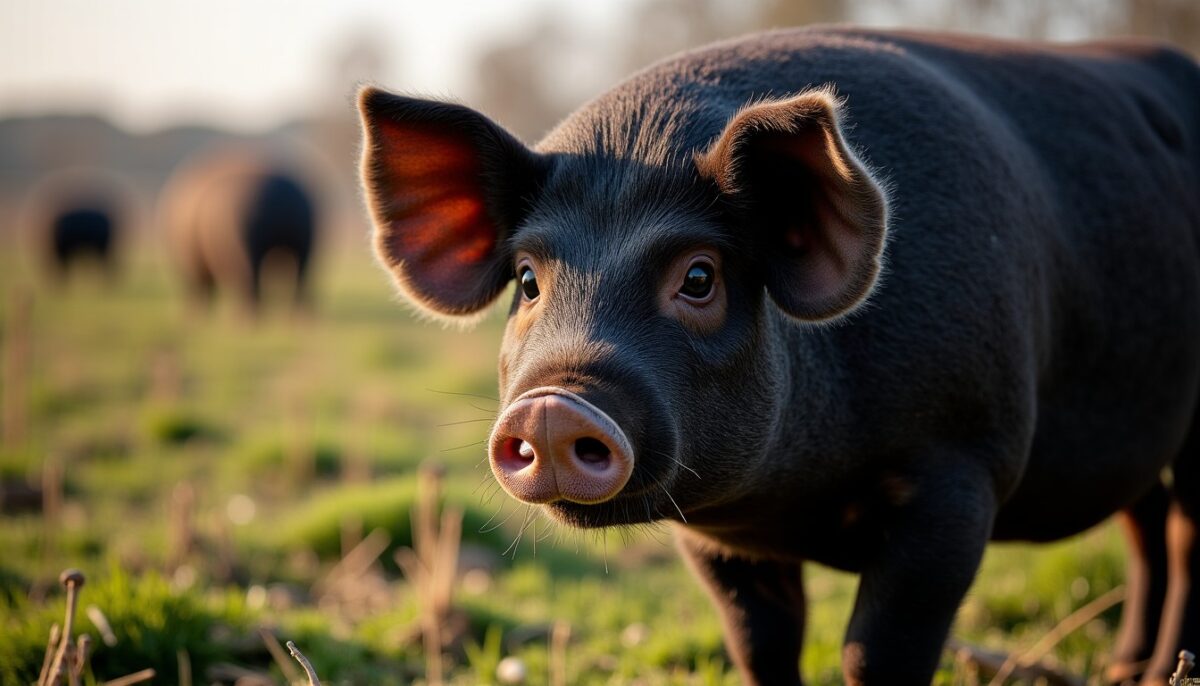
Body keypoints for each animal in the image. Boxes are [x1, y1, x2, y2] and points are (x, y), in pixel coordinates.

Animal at [357, 27, 1200, 685]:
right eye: (529, 280)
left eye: (699, 277)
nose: (554, 406)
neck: (794, 498)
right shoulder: (716, 536)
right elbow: (760, 649)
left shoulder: (962, 470)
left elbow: (873, 654)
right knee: (1147, 523)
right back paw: (1123, 669)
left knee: (1184, 537)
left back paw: (1158, 672)